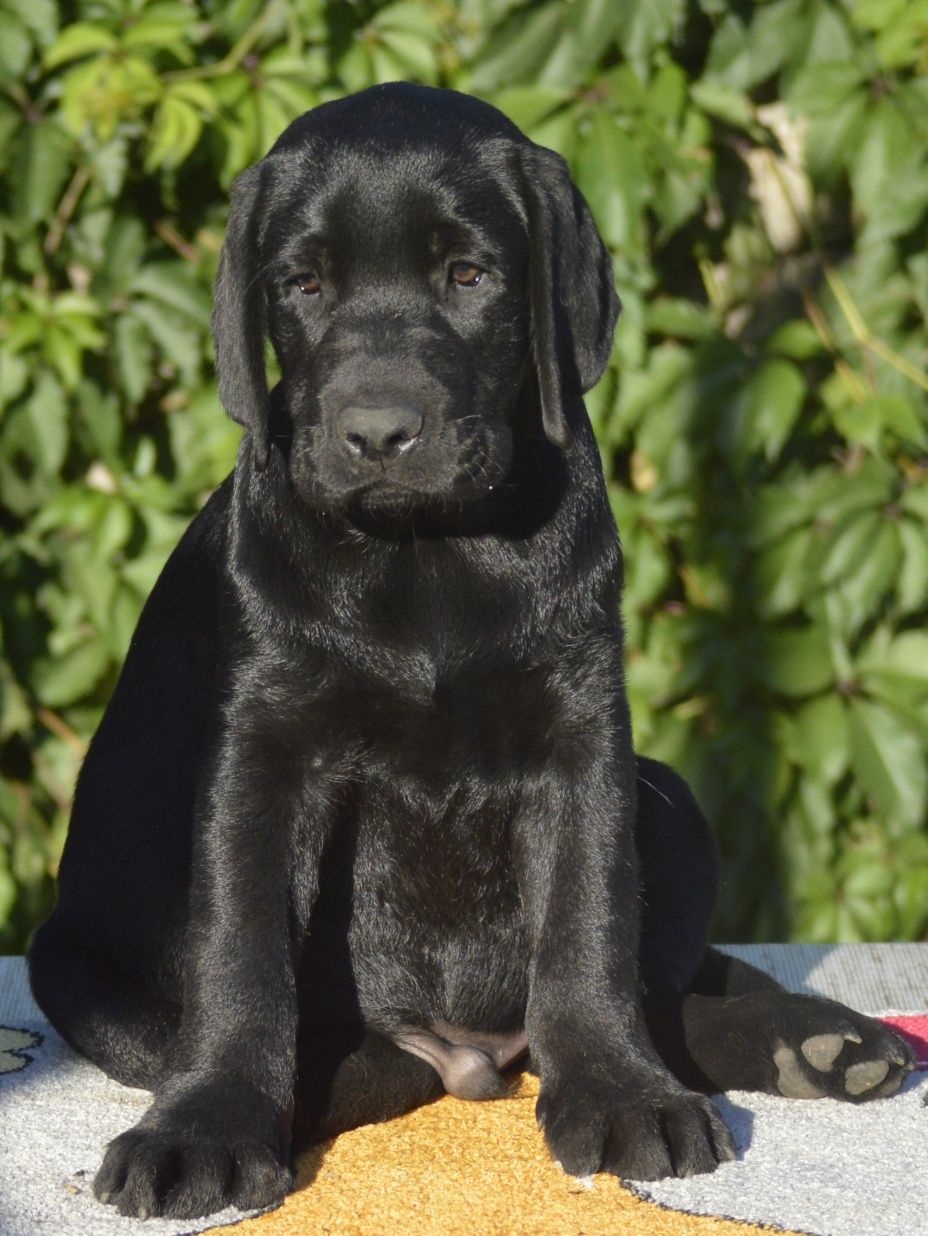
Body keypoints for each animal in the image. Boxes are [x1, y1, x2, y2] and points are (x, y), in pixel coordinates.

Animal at [27, 84, 914, 1216]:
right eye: (303, 283)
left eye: (469, 275)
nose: (377, 432)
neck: (428, 554)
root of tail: (468, 1047)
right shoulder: (262, 753)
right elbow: (240, 953)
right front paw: (208, 1122)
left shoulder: (584, 733)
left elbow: (588, 930)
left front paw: (620, 1093)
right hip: (75, 961)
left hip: (671, 799)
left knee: (665, 980)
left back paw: (817, 1042)